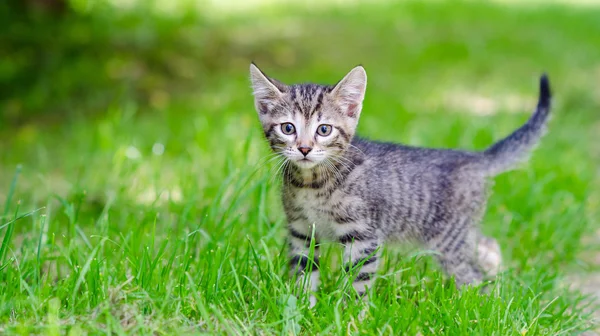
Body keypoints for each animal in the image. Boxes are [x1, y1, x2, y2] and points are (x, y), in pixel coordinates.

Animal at [248, 62, 552, 302]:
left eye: (324, 130)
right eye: (288, 128)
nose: (304, 148)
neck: (312, 183)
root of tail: (472, 157)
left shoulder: (363, 236)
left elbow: (359, 282)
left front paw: (350, 317)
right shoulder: (302, 231)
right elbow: (303, 272)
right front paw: (302, 308)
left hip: (448, 239)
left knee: (473, 276)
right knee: (487, 245)